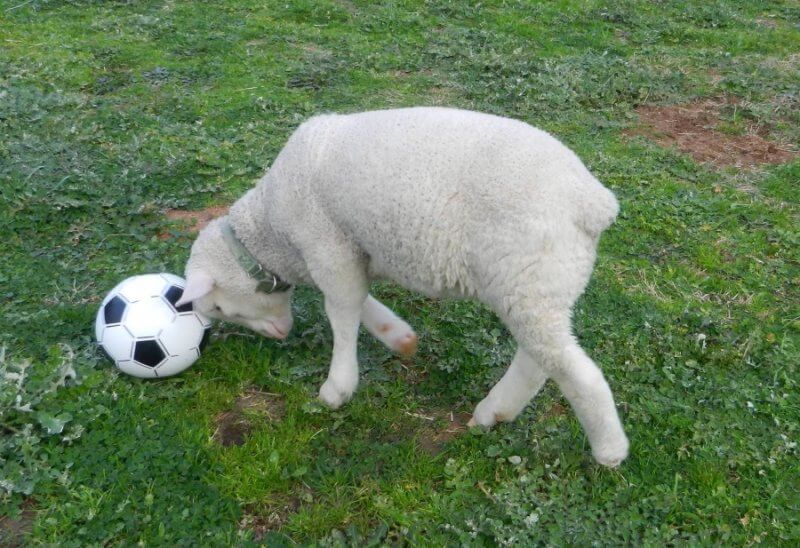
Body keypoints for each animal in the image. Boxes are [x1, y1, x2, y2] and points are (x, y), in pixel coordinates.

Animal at [177, 106, 632, 466]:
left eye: (217, 308)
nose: (280, 334)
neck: (272, 232)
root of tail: (592, 202)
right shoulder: (355, 253)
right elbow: (358, 301)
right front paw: (398, 337)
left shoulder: (327, 245)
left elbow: (341, 311)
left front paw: (337, 388)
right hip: (539, 284)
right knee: (539, 360)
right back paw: (494, 413)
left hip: (527, 278)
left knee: (576, 372)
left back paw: (609, 451)